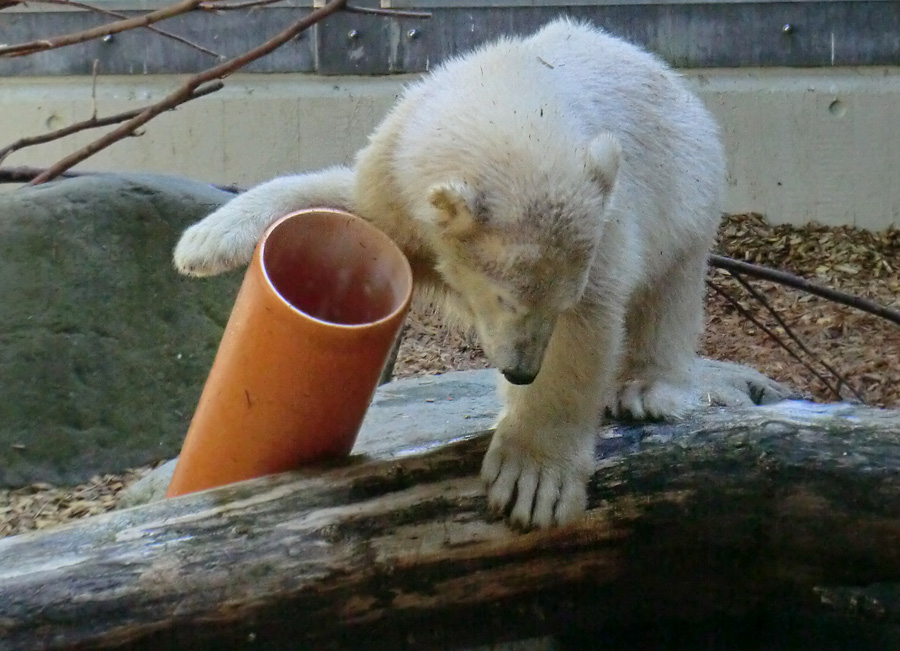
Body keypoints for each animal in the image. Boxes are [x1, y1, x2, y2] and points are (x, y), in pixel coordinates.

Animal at [172, 19, 784, 528]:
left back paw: (644, 389)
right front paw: (203, 241)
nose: (520, 371)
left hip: (688, 189)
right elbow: (350, 206)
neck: (512, 83)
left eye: (558, 302)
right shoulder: (394, 178)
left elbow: (586, 333)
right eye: (502, 298)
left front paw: (533, 480)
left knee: (671, 293)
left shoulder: (608, 227)